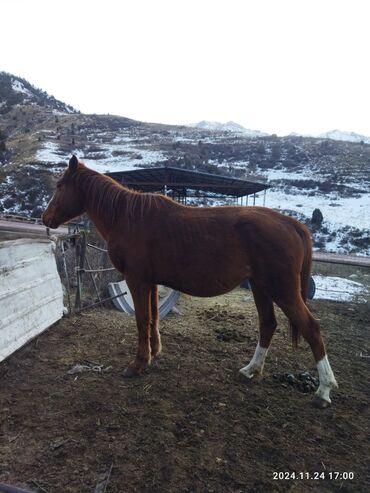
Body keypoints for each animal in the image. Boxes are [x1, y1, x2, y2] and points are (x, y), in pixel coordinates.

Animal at [42, 158, 336, 408]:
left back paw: (323, 391)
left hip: (281, 289)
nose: (46, 219)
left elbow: (141, 319)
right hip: (260, 287)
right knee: (268, 325)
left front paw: (138, 364)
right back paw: (250, 370)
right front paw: (154, 353)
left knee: (311, 328)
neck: (128, 217)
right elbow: (152, 317)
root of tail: (293, 225)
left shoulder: (136, 279)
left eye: (60, 186)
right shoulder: (149, 282)